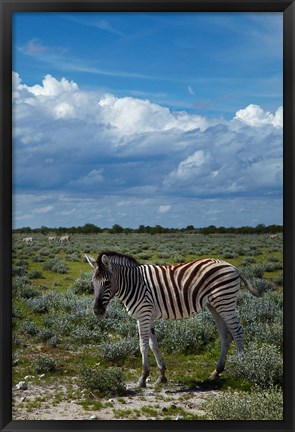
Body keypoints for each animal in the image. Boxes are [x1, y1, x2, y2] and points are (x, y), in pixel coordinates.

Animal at [85, 250, 264, 388]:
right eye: (93, 282)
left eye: (107, 282)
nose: (97, 311)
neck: (133, 283)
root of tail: (233, 267)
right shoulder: (147, 315)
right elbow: (153, 344)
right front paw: (161, 376)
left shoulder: (143, 314)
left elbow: (143, 346)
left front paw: (142, 378)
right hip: (214, 305)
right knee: (225, 335)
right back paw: (216, 372)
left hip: (225, 302)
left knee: (238, 331)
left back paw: (241, 368)